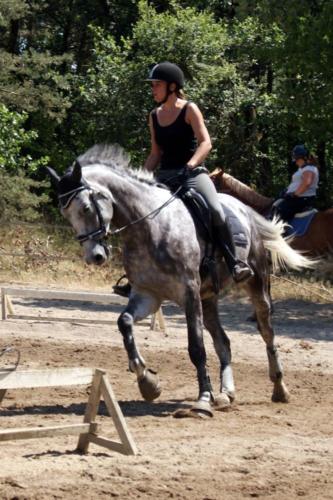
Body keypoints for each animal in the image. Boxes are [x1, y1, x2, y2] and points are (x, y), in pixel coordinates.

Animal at [46, 145, 312, 418]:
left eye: (86, 208)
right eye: (65, 213)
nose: (94, 256)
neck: (148, 227)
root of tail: (244, 209)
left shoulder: (189, 293)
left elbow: (196, 348)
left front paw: (203, 400)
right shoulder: (147, 295)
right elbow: (125, 322)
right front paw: (148, 382)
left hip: (256, 285)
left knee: (267, 332)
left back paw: (279, 388)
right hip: (208, 298)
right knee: (223, 342)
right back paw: (226, 394)